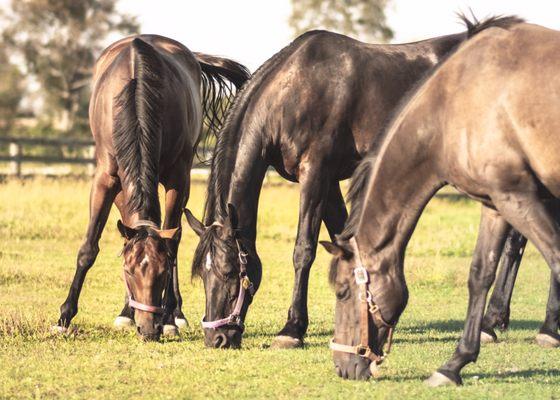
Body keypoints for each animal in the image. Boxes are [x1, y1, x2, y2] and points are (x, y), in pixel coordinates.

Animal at [52, 35, 249, 340]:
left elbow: (173, 244)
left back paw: (175, 313)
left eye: (161, 272)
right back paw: (126, 312)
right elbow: (89, 248)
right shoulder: (106, 178)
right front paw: (65, 316)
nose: (148, 329)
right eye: (128, 270)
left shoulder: (177, 177)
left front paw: (169, 318)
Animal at [322, 20, 560, 382]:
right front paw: (455, 364)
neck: (452, 105)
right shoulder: (495, 204)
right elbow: (480, 275)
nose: (342, 367)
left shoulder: (517, 197)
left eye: (342, 291)